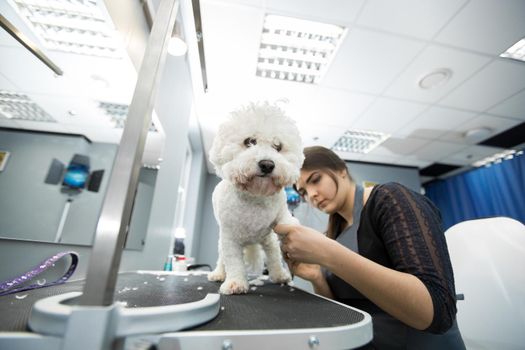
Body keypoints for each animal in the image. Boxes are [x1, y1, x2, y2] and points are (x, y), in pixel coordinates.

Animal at [206, 102, 302, 296]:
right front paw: (235, 283)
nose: (267, 164)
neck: (255, 197)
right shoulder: (230, 238)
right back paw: (218, 273)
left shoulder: (277, 221)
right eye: (249, 141)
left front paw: (280, 274)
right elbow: (233, 261)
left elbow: (276, 254)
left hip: (267, 239)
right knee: (222, 259)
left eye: (278, 146)